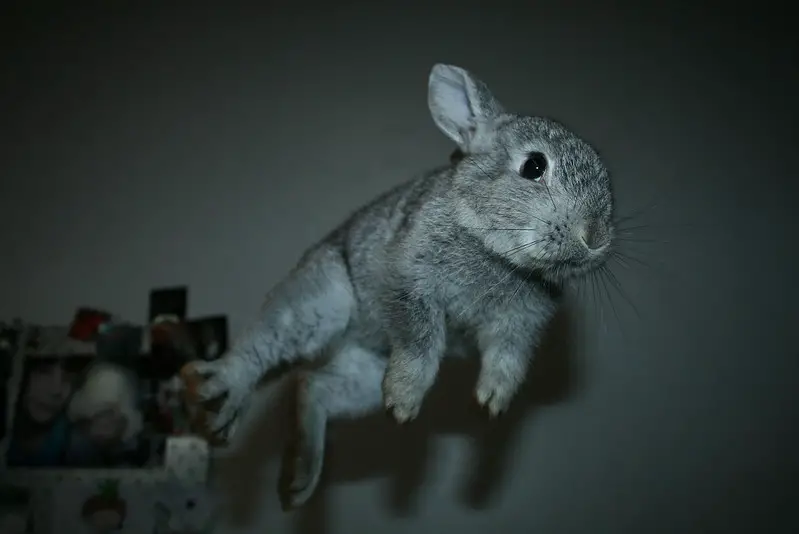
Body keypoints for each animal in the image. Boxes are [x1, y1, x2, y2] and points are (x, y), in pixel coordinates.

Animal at [191, 65, 616, 508]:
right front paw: (404, 401)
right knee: (260, 350)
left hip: (364, 376)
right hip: (320, 305)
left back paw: (301, 481)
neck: (499, 254)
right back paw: (224, 392)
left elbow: (508, 360)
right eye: (533, 166)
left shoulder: (519, 326)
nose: (596, 236)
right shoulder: (408, 281)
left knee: (312, 388)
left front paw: (491, 403)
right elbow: (420, 340)